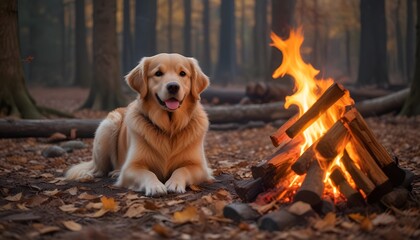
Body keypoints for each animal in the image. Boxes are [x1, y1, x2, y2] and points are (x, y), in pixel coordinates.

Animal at [65, 53, 213, 196]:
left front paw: (175, 183)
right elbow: (147, 173)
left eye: (182, 73)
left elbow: (182, 170)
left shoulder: (200, 167)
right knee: (97, 169)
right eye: (158, 73)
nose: (173, 86)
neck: (169, 128)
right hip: (108, 126)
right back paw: (97, 174)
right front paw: (155, 186)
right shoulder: (131, 167)